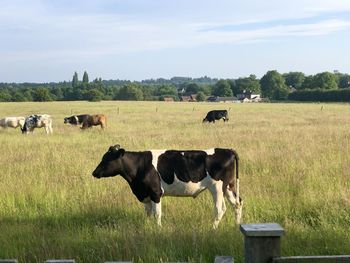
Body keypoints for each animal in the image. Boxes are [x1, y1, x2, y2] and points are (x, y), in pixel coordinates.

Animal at [91, 144, 242, 229]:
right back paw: (237, 225)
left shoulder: (155, 192)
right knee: (237, 204)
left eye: (106, 160)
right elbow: (148, 213)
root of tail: (227, 150)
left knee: (220, 209)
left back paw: (212, 228)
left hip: (217, 187)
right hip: (229, 186)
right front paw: (147, 227)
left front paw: (158, 229)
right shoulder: (146, 194)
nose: (94, 172)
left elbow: (157, 214)